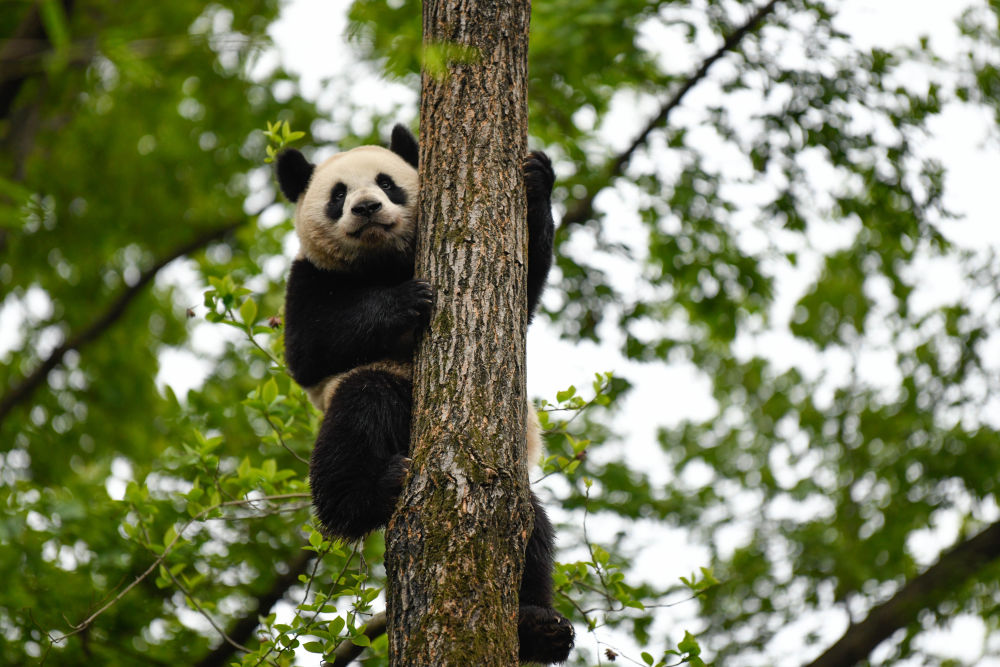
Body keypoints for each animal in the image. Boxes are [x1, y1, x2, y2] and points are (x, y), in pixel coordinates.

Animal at [278, 124, 576, 664]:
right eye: (338, 195)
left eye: (386, 183)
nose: (366, 208)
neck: (381, 262)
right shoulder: (307, 278)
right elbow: (309, 347)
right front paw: (405, 301)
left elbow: (524, 294)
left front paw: (538, 177)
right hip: (381, 396)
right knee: (359, 409)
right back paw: (370, 493)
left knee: (534, 531)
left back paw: (539, 628)